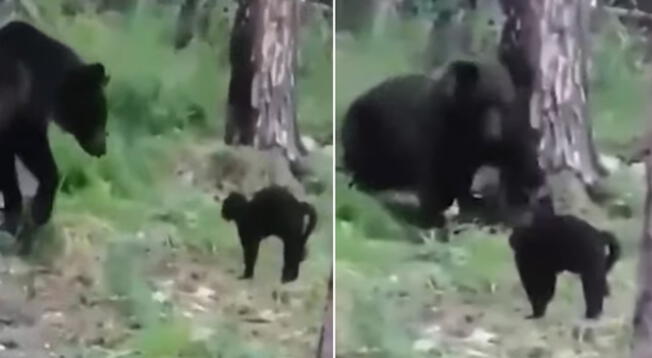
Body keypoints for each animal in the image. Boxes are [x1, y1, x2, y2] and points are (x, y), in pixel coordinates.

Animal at [342, 58, 540, 227]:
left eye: (504, 105)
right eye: (483, 103)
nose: (494, 134)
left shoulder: (487, 140)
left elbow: (514, 154)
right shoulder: (438, 131)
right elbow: (435, 173)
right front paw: (434, 215)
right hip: (365, 128)